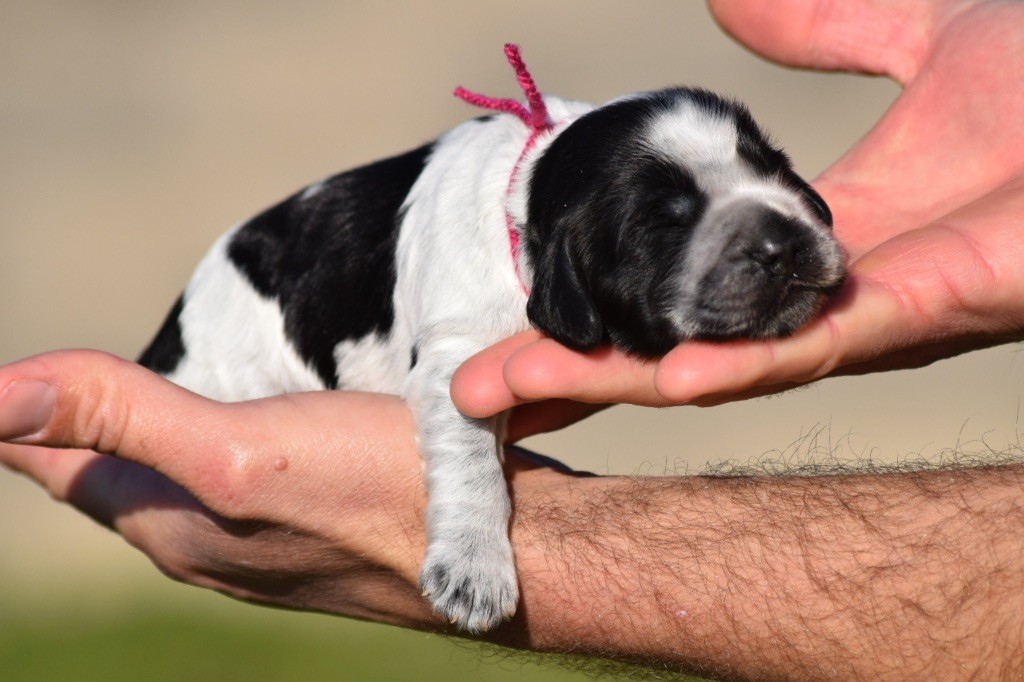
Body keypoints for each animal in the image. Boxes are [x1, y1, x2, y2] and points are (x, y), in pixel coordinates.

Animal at [136, 45, 843, 630]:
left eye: (777, 169)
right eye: (664, 223)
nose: (781, 245)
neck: (524, 199)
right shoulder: (454, 358)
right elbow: (470, 460)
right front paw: (474, 572)